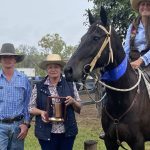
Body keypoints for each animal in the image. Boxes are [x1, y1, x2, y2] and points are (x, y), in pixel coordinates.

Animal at [64, 6, 150, 149]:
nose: (68, 70)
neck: (121, 99)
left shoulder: (138, 142)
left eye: (96, 37)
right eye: (82, 38)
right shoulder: (110, 141)